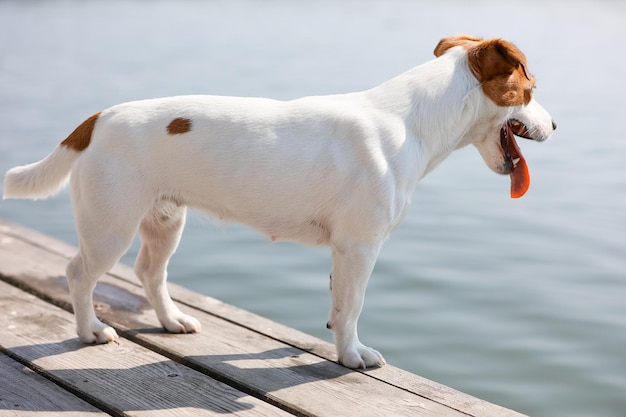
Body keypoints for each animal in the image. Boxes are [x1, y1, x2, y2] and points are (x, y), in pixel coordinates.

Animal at [3, 35, 552, 368]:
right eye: (530, 88)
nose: (556, 124)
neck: (411, 121)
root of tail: (98, 118)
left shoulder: (345, 252)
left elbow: (337, 304)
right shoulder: (360, 247)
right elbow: (352, 307)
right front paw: (351, 358)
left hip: (164, 221)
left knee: (148, 273)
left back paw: (171, 321)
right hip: (109, 225)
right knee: (79, 274)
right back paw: (90, 332)